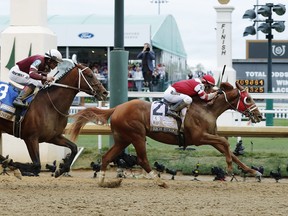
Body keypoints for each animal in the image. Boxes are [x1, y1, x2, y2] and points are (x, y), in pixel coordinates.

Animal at [69, 82, 264, 186]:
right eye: (248, 99)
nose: (259, 115)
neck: (206, 109)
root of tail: (116, 108)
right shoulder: (200, 137)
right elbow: (226, 143)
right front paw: (230, 168)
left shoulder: (210, 138)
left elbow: (228, 149)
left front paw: (253, 171)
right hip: (137, 135)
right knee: (142, 159)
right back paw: (159, 181)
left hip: (123, 139)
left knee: (107, 157)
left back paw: (103, 181)